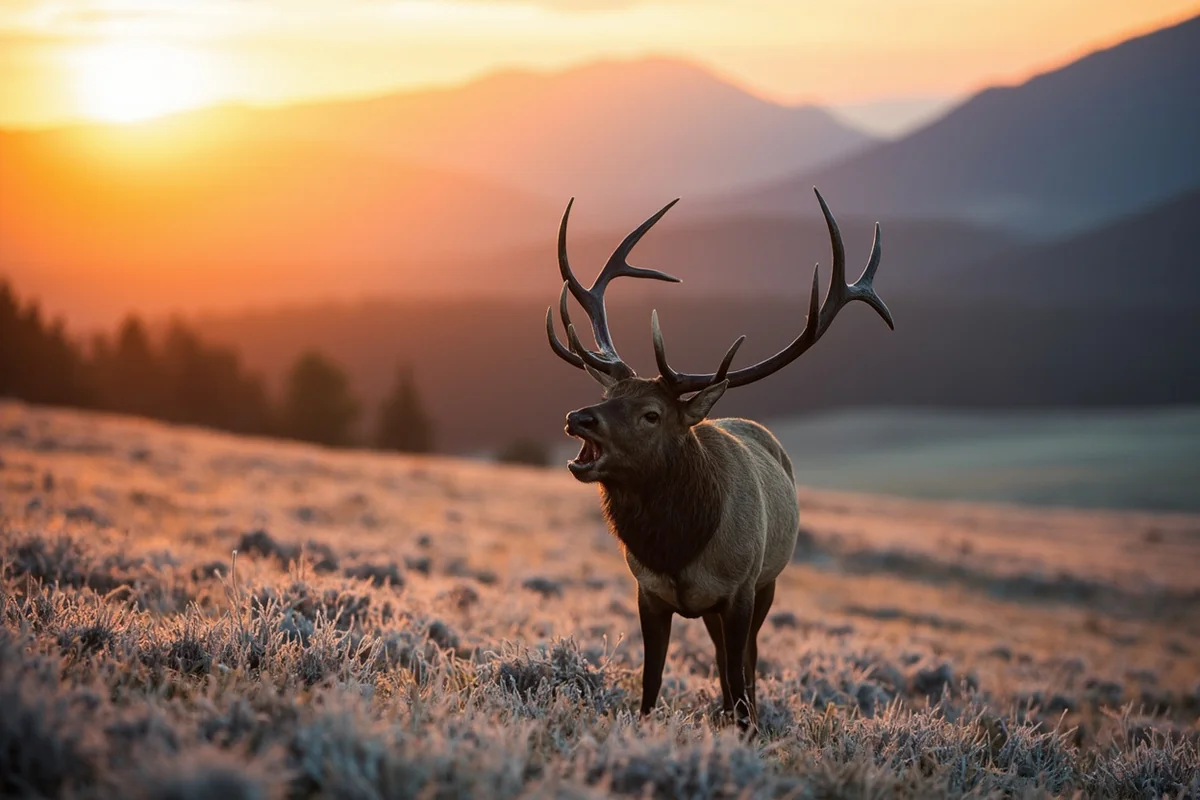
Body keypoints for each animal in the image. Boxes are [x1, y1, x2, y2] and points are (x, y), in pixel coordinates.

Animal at [544, 188, 894, 736]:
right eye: (607, 395)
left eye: (652, 414)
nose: (579, 418)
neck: (678, 545)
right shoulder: (649, 592)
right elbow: (651, 680)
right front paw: (652, 725)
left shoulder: (741, 590)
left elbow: (740, 672)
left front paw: (746, 730)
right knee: (721, 662)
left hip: (768, 582)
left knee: (747, 661)